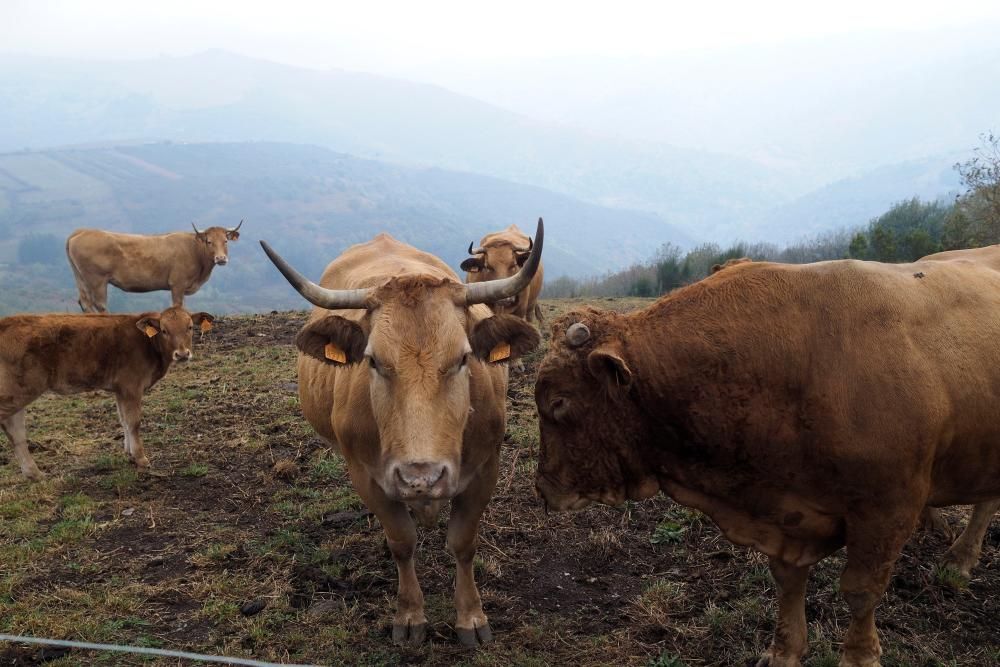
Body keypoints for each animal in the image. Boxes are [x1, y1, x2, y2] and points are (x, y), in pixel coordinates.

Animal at [0, 308, 213, 480]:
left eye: (190, 327)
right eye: (164, 330)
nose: (182, 354)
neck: (148, 345)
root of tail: (6, 322)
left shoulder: (121, 389)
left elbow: (124, 420)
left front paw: (129, 453)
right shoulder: (131, 385)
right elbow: (134, 422)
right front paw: (141, 458)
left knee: (16, 431)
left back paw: (34, 474)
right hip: (18, 390)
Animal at [67, 220, 243, 312]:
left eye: (225, 241)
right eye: (209, 241)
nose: (221, 258)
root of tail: (82, 231)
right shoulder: (177, 284)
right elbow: (178, 306)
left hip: (80, 277)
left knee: (84, 302)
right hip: (97, 279)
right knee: (99, 304)